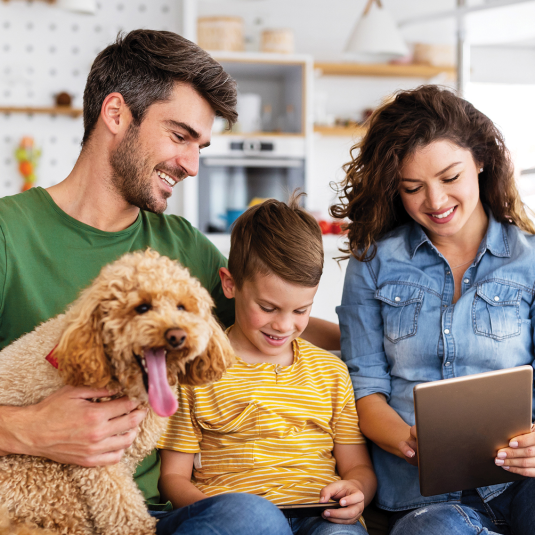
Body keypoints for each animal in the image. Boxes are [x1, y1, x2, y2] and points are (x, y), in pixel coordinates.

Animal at [0, 251, 234, 535]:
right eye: (142, 308)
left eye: (182, 307)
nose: (177, 335)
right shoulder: (97, 456)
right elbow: (120, 503)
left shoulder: (127, 454)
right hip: (41, 477)